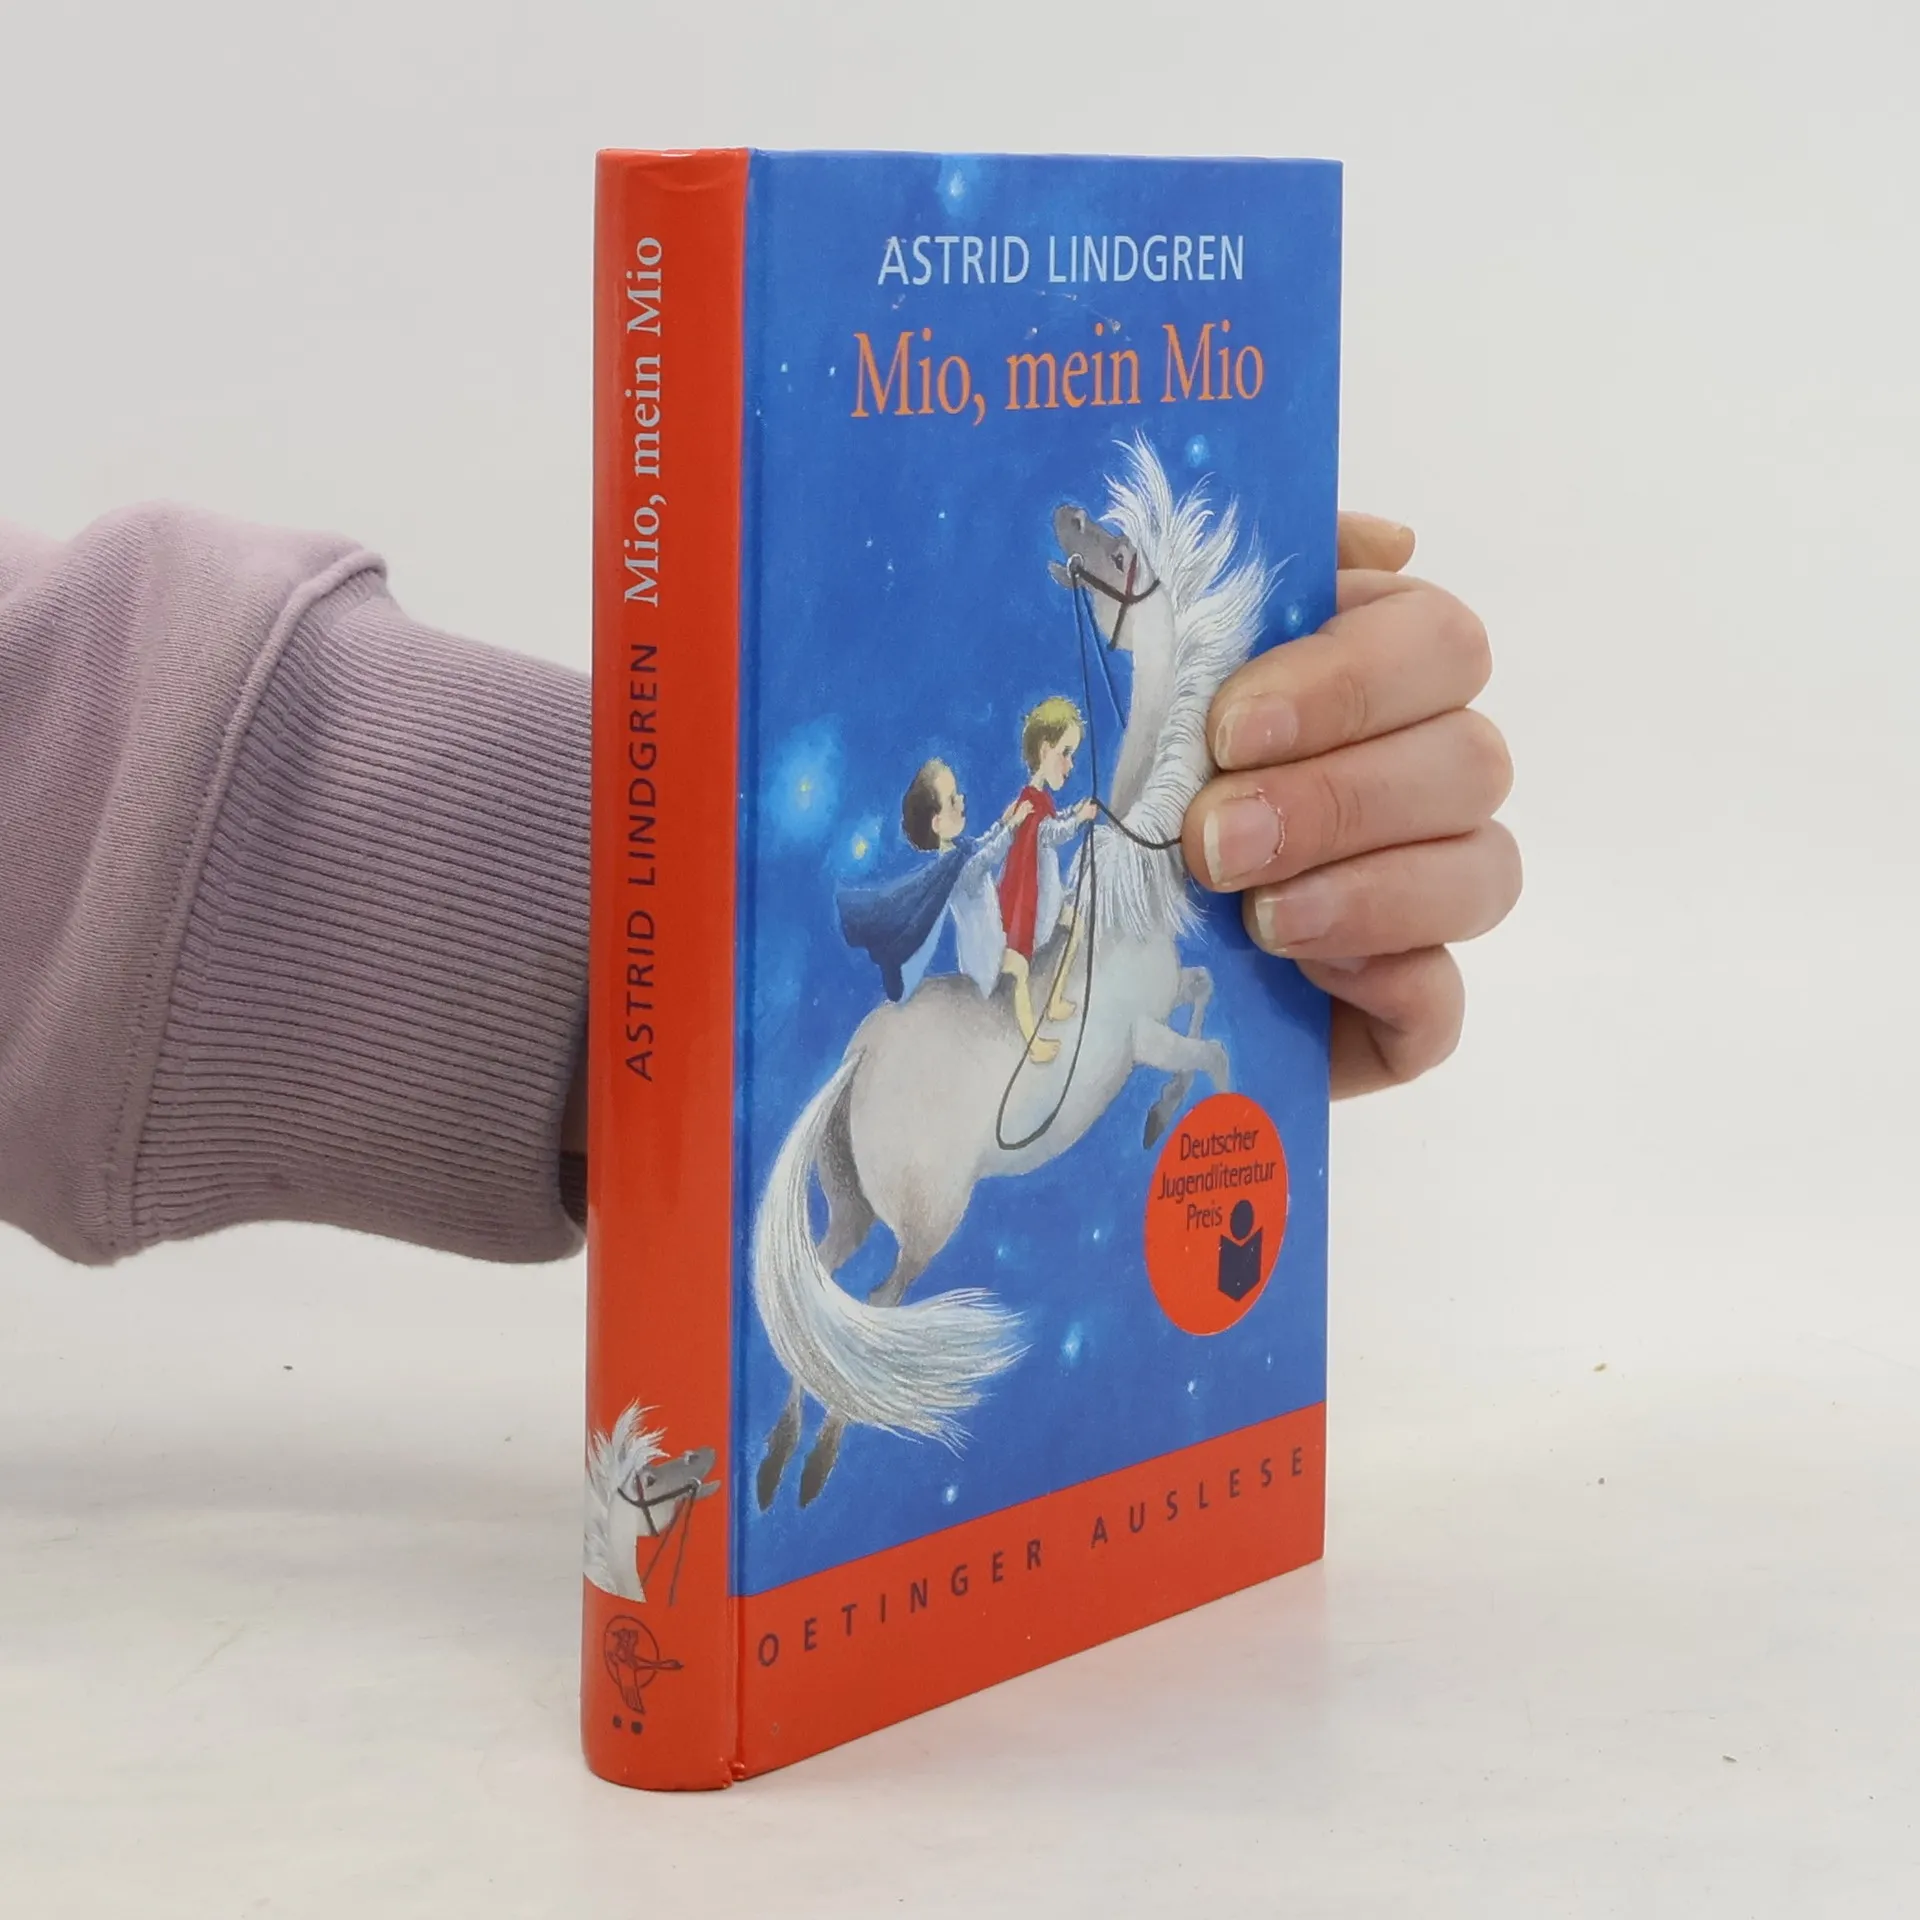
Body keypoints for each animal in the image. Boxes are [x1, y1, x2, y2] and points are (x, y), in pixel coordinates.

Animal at [752, 436, 1273, 1508]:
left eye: (1118, 550)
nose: (1067, 513)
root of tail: (859, 1061)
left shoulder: (1160, 1008)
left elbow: (1204, 1000)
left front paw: (1162, 1124)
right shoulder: (1144, 1033)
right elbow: (1210, 1058)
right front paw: (1177, 1125)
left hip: (852, 1209)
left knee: (821, 1300)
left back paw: (780, 1458)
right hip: (924, 1225)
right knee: (875, 1311)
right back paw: (822, 1456)